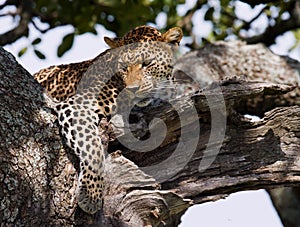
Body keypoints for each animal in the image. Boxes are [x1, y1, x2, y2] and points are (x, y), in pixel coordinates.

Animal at [32, 25, 183, 215]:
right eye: (124, 67)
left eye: (147, 63)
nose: (133, 89)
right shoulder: (77, 106)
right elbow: (93, 147)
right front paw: (91, 194)